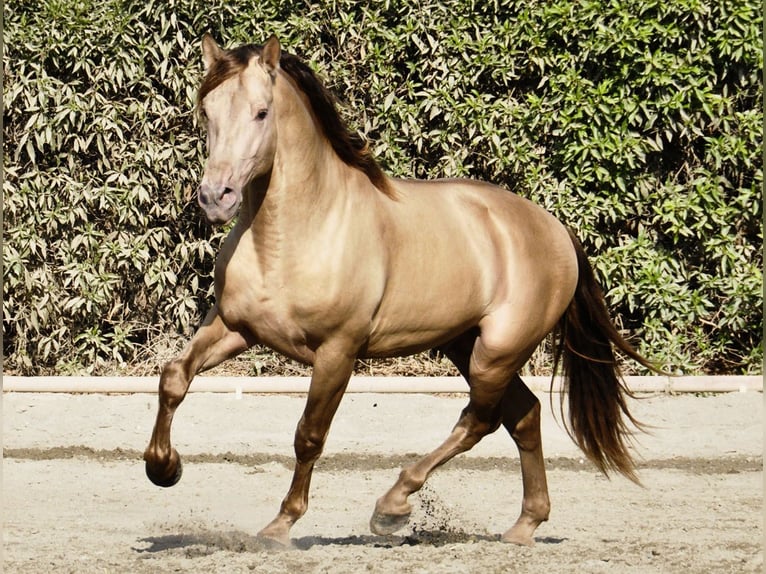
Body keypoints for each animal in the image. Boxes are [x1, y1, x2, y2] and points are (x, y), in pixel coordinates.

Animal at [144, 33, 658, 547]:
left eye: (261, 112)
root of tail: (555, 228)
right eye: (207, 110)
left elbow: (309, 435)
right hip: (465, 344)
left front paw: (280, 525)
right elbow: (174, 377)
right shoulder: (235, 327)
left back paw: (392, 507)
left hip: (497, 352)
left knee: (481, 420)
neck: (296, 233)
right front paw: (163, 469)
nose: (216, 197)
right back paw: (523, 525)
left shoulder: (338, 351)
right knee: (524, 415)